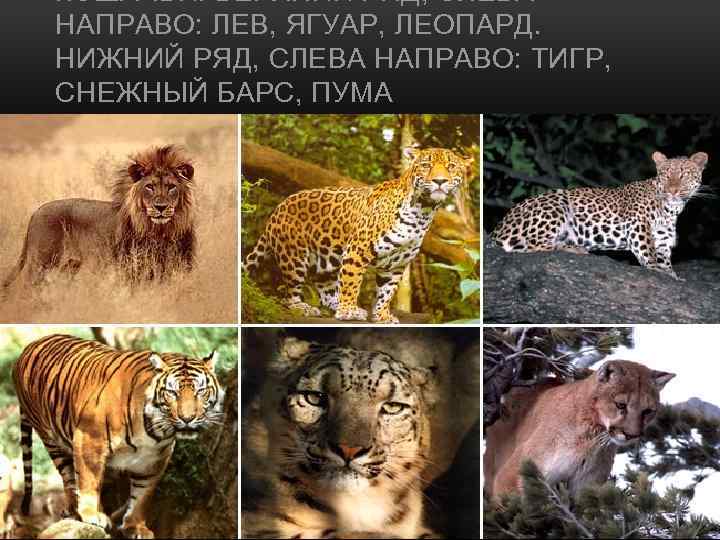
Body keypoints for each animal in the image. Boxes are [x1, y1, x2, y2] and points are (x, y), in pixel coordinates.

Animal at [2, 145, 195, 293]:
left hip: (69, 267)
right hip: (41, 263)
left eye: (171, 187)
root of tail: (36, 211)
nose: (160, 207)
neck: (160, 231)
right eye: (149, 187)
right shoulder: (131, 270)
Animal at [12, 334, 225, 539]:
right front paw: (91, 514)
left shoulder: (153, 459)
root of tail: (28, 347)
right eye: (172, 392)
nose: (187, 418)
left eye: (201, 391)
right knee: (70, 477)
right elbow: (89, 481)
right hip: (51, 439)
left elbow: (142, 496)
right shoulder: (89, 439)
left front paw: (136, 527)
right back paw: (75, 510)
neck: (156, 432)